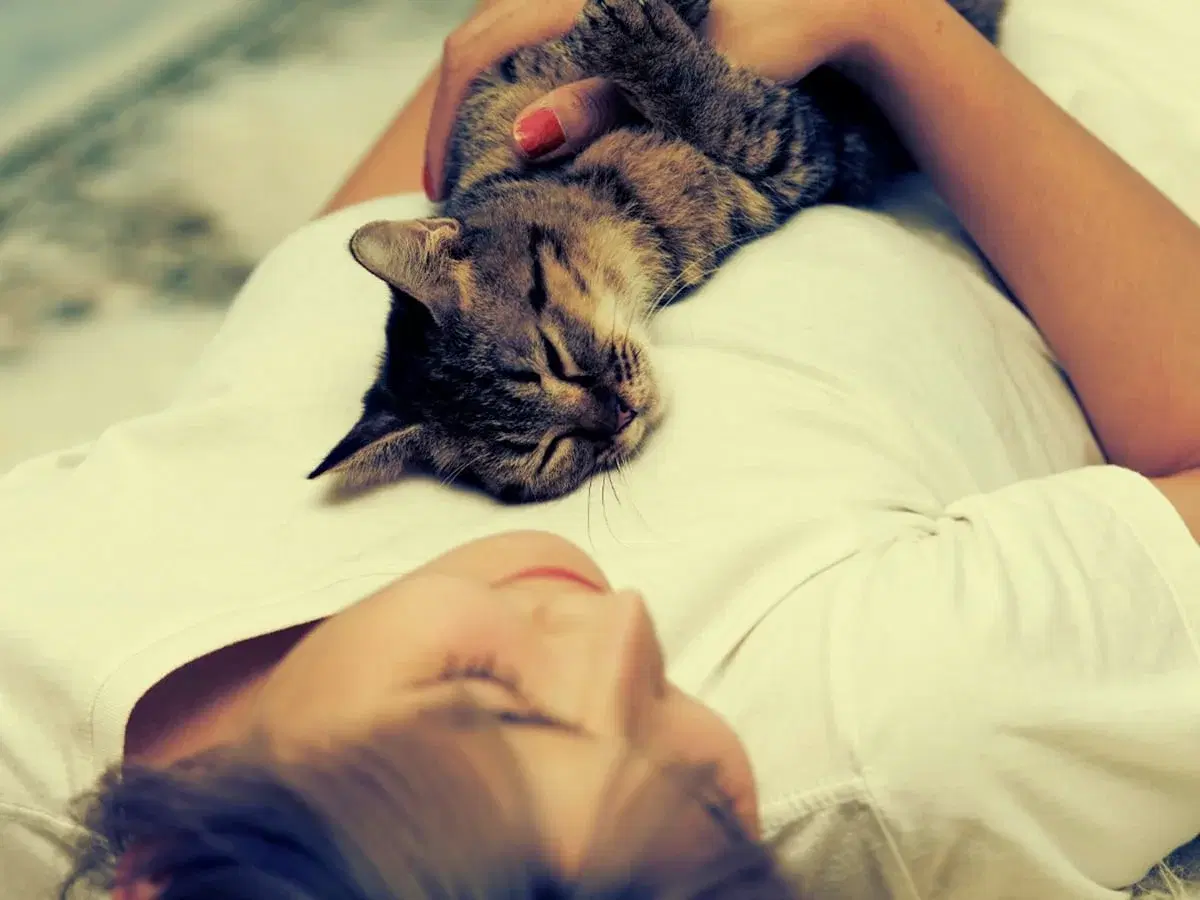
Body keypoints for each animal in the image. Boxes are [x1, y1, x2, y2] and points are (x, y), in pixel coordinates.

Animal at [309, 0, 1008, 503]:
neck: (625, 201)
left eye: (552, 357)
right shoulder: (797, 153)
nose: (619, 414)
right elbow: (741, 116)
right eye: (550, 451)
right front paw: (653, 50)